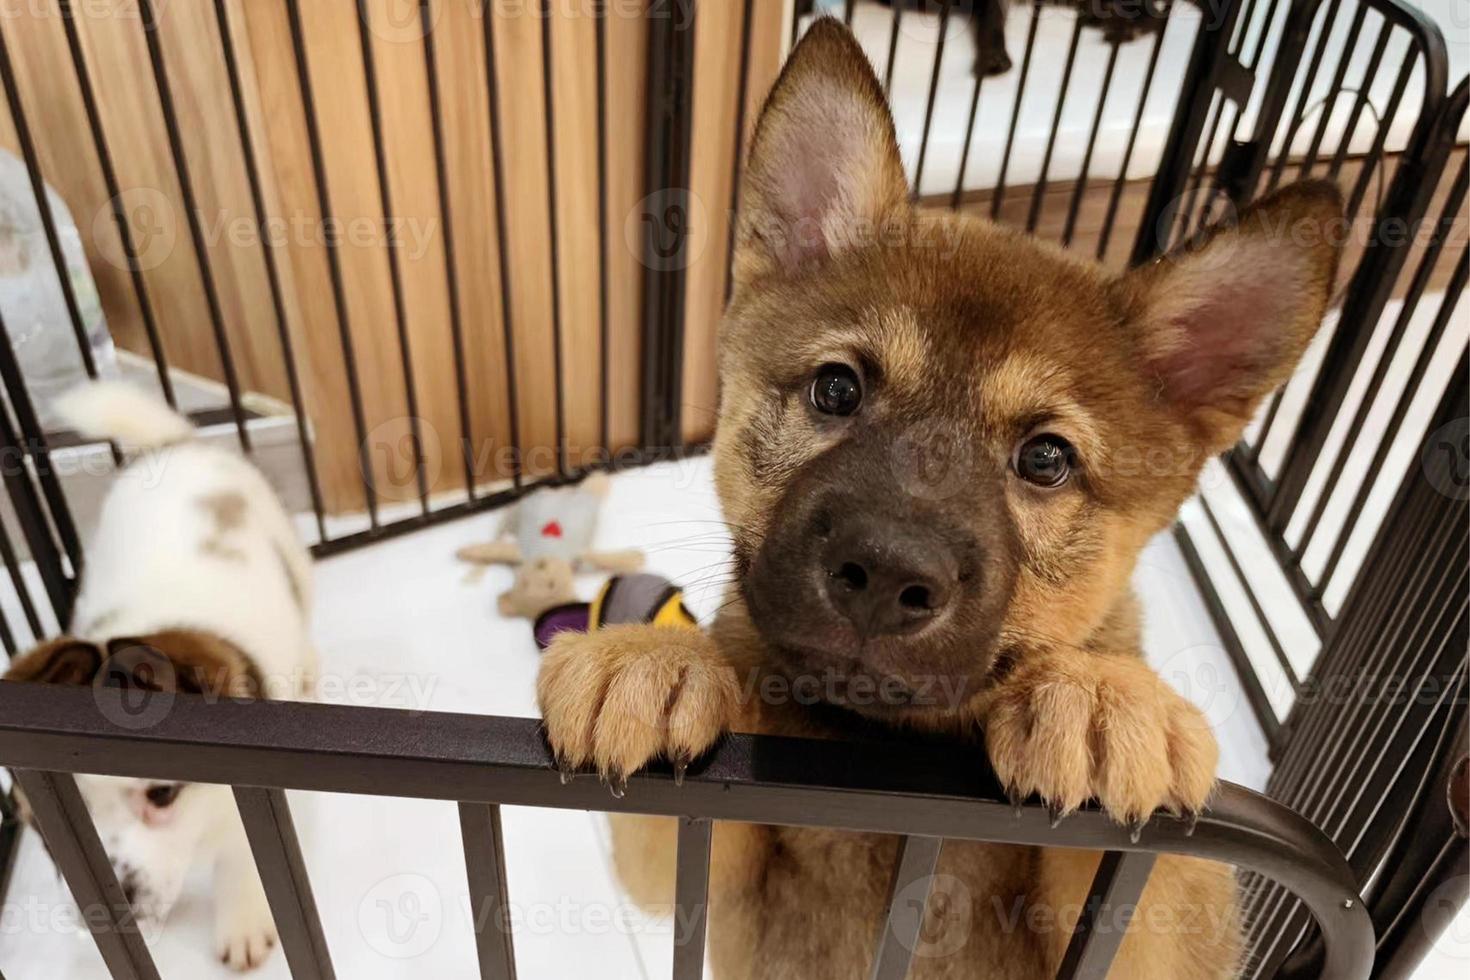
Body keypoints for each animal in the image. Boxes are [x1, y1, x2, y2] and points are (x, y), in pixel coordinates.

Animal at [4, 379, 314, 969]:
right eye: (53, 817)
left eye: (163, 795)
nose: (111, 901)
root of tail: (175, 445)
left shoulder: (249, 800)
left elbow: (247, 858)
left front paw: (243, 918)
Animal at [540, 19, 1346, 975]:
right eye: (838, 390)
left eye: (1046, 459)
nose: (886, 575)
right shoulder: (710, 877)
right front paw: (652, 659)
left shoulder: (1158, 937)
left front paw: (1110, 701)